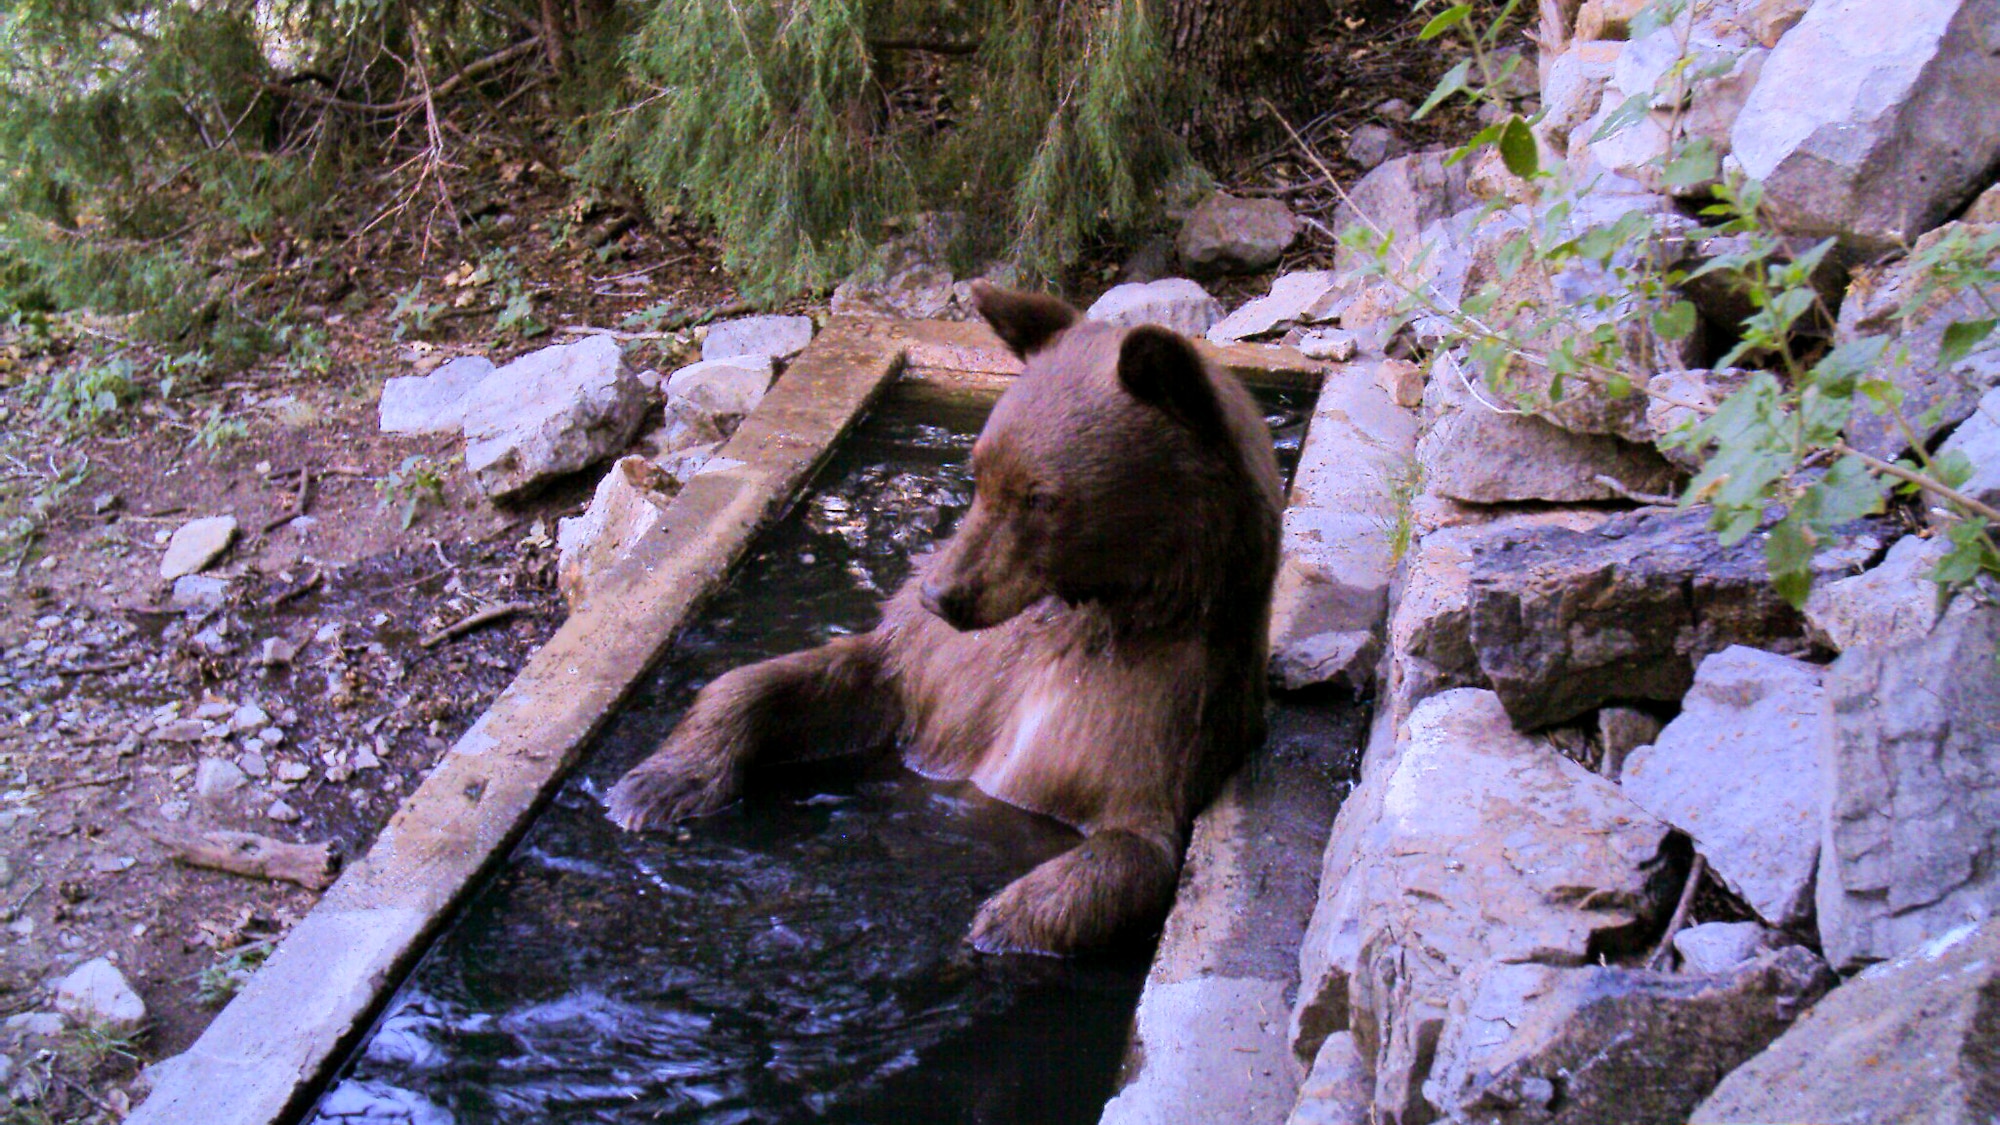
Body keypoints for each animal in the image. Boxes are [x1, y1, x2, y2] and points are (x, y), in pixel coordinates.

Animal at [600, 284, 1280, 948]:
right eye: (980, 471)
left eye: (1041, 498)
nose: (940, 594)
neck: (1087, 613)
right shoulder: (945, 668)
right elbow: (796, 679)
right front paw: (654, 784)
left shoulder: (1157, 720)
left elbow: (1132, 848)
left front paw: (1000, 922)